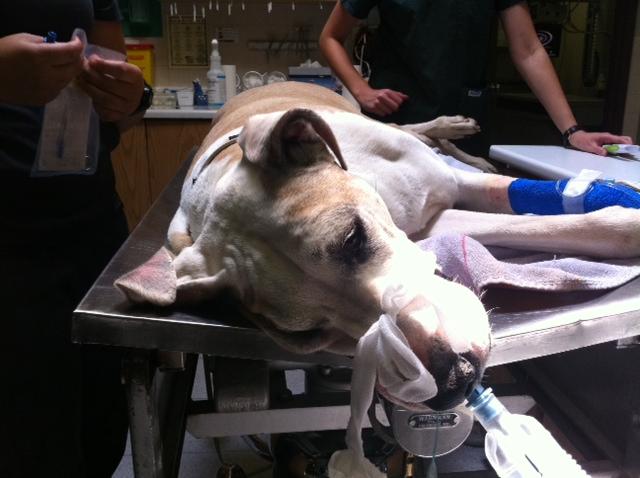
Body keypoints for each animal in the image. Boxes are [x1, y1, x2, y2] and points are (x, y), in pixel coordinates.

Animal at [116, 82, 640, 411]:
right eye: (307, 335)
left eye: (353, 238)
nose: (454, 381)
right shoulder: (437, 221)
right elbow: (522, 225)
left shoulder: (448, 186)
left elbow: (543, 212)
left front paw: (621, 215)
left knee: (423, 135)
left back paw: (457, 131)